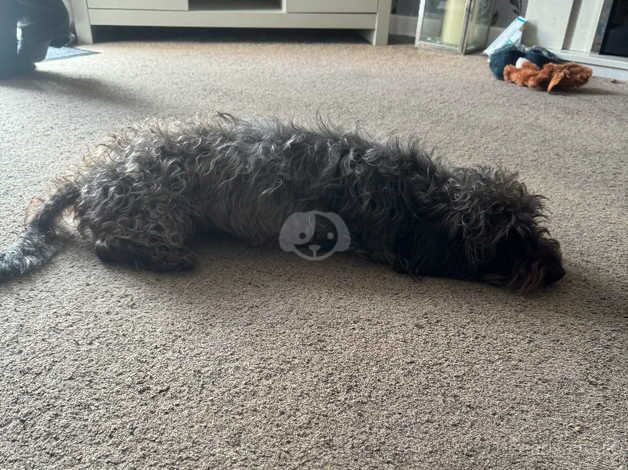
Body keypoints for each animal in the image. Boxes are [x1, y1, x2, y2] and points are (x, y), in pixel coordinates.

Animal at [0, 114, 568, 290]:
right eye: (509, 239)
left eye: (534, 222)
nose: (559, 271)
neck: (415, 194)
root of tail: (87, 176)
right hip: (156, 213)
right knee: (107, 246)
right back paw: (167, 259)